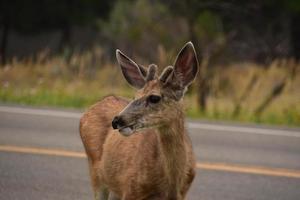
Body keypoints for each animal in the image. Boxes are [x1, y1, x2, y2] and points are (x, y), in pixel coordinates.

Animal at [80, 41, 199, 199]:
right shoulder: (130, 188)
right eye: (135, 96)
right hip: (96, 172)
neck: (170, 184)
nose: (117, 120)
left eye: (154, 97)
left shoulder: (181, 194)